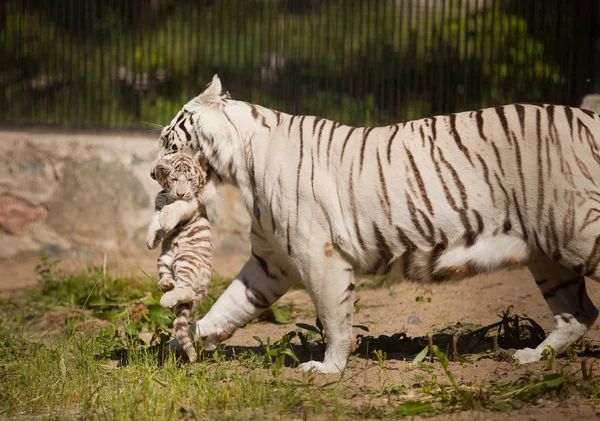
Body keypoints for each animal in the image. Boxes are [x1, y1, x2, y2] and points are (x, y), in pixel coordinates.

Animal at [146, 152, 213, 364]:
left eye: (190, 179)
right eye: (174, 179)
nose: (181, 192)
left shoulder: (191, 203)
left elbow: (179, 207)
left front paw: (167, 219)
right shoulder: (159, 203)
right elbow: (154, 220)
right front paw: (151, 239)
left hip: (185, 258)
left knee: (187, 290)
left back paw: (167, 299)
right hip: (165, 258)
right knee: (173, 282)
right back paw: (166, 285)